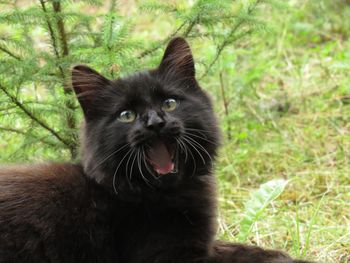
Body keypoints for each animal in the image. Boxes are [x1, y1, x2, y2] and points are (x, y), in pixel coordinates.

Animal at [0, 37, 314, 263]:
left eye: (169, 103)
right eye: (126, 115)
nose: (155, 123)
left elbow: (240, 248)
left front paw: (279, 255)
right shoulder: (169, 256)